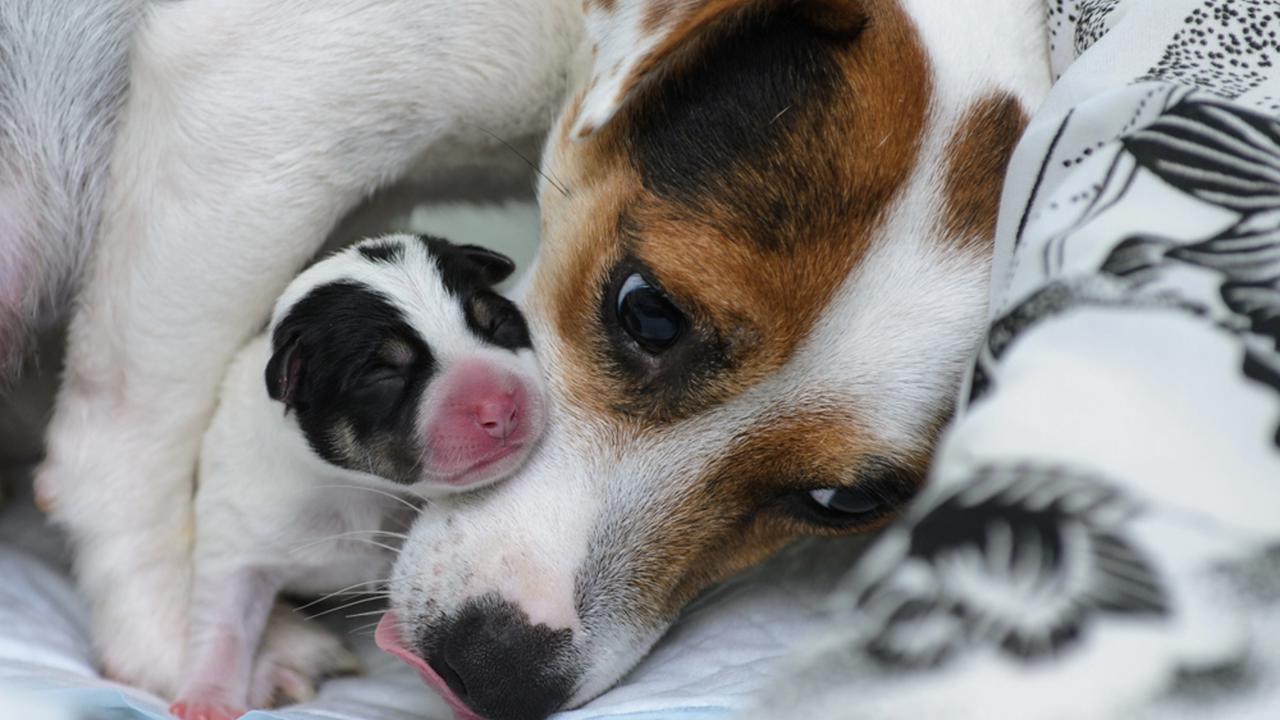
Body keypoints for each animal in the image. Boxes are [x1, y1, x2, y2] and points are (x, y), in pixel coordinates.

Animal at [172, 234, 542, 717]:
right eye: (383, 372)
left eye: (498, 322)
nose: (501, 409)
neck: (364, 489)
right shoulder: (237, 536)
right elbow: (224, 620)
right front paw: (207, 699)